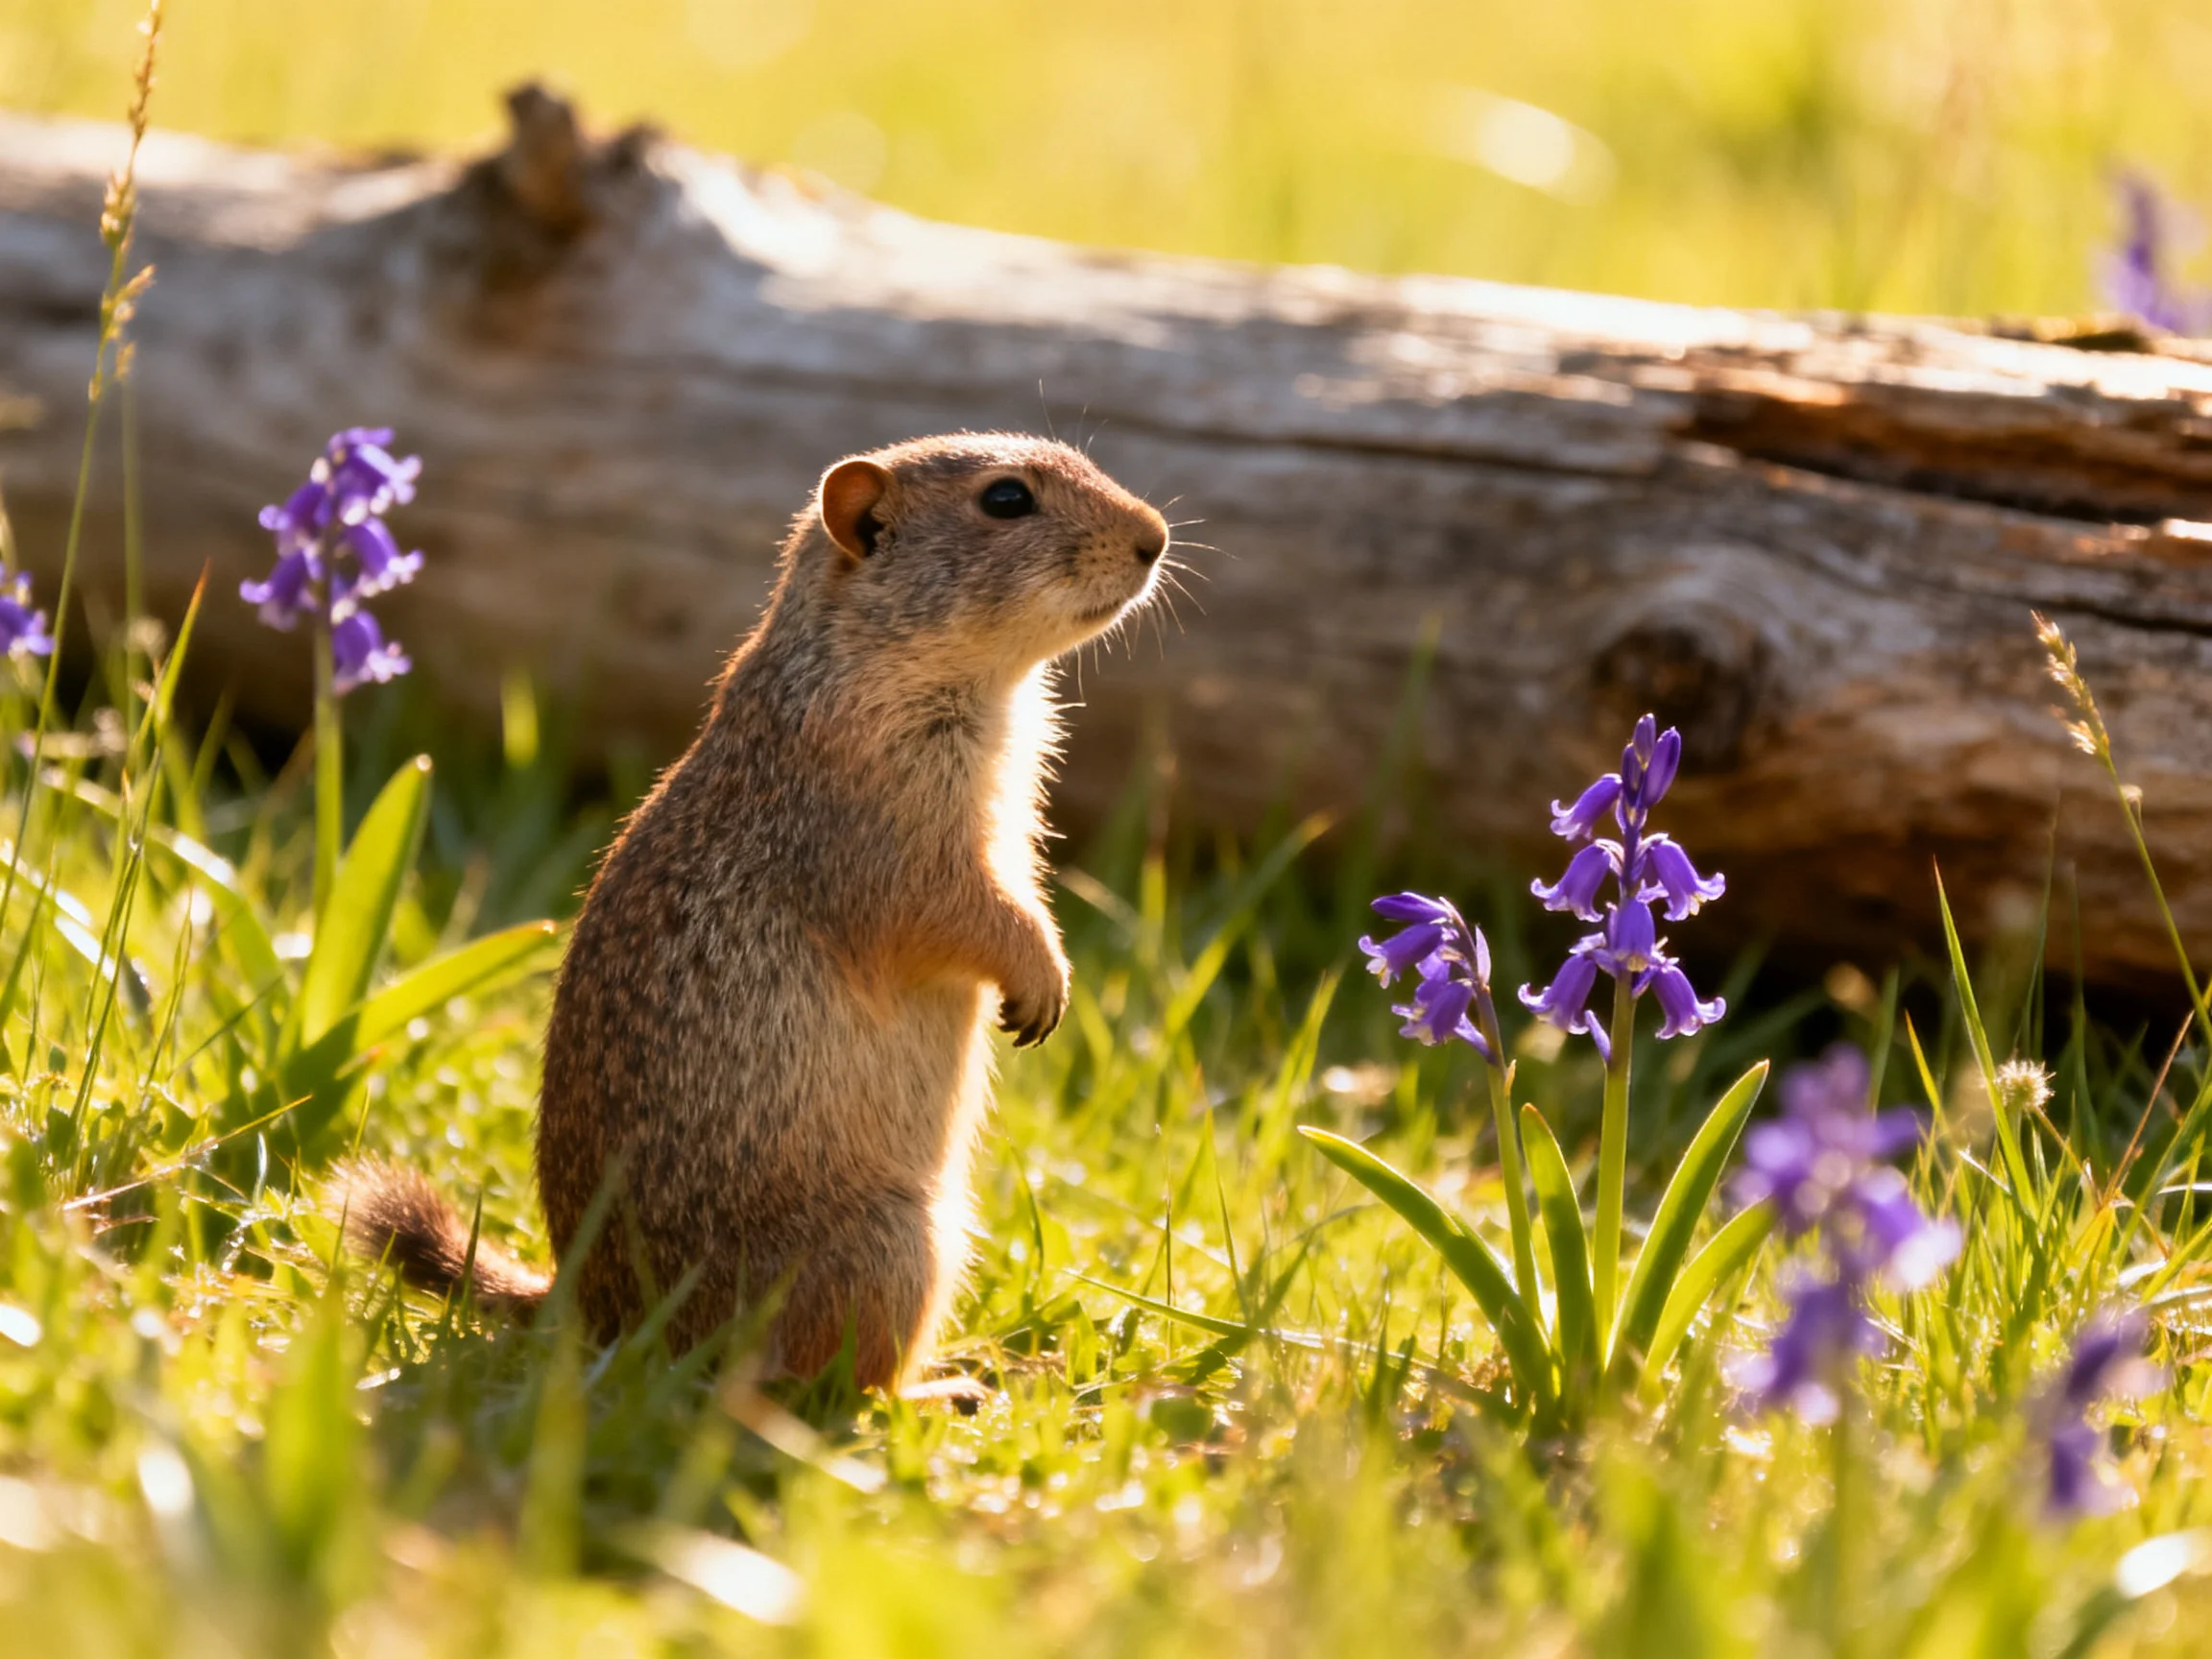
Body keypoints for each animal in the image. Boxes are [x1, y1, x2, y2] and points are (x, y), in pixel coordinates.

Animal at [342, 433, 1170, 1391]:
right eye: (1006, 499)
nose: (1154, 537)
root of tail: (593, 1312)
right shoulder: (892, 835)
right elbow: (965, 911)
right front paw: (1041, 980)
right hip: (897, 1243)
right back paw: (943, 1387)